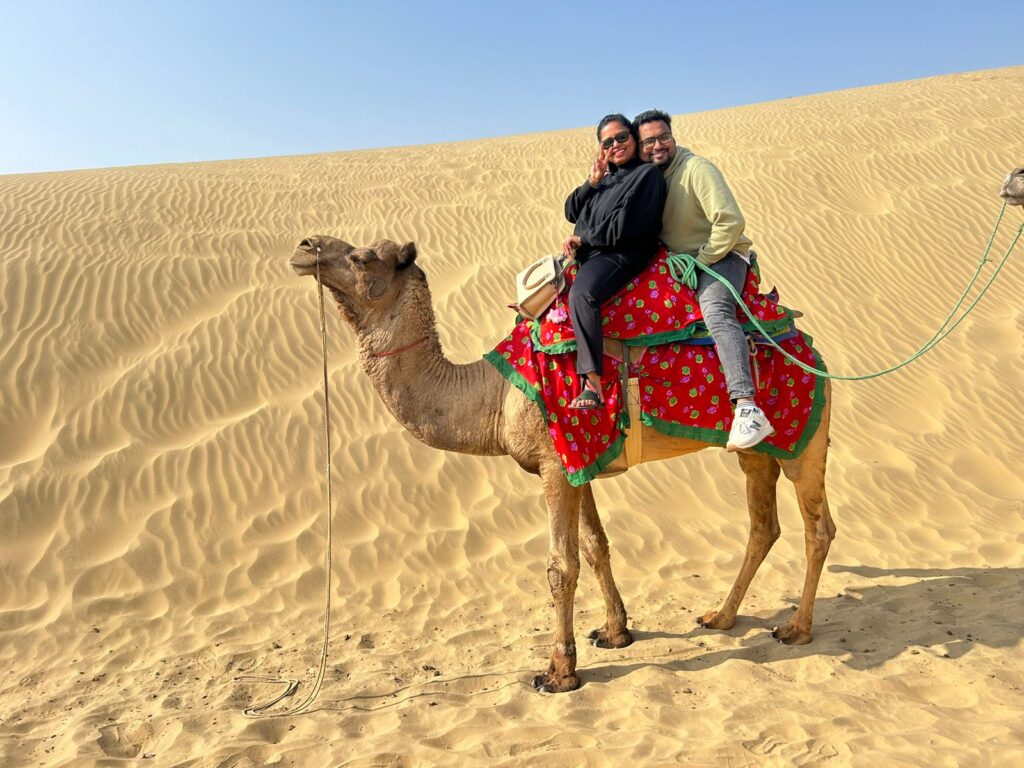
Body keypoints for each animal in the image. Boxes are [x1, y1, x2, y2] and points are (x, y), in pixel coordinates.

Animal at [288, 237, 831, 696]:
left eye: (361, 257)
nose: (304, 247)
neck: (494, 394)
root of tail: (810, 343)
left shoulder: (555, 465)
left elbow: (559, 567)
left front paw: (558, 672)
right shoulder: (577, 463)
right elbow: (595, 547)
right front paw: (615, 632)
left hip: (804, 438)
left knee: (817, 527)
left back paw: (796, 629)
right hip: (758, 451)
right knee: (763, 524)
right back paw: (720, 617)